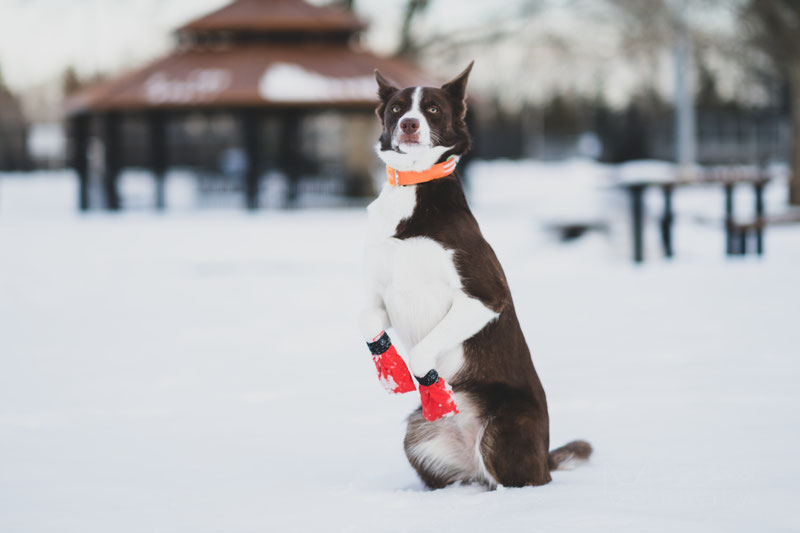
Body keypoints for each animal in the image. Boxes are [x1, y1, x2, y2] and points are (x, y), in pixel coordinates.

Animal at [360, 61, 592, 486]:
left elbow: (422, 351)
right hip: (418, 435)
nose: (409, 124)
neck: (414, 191)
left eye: (433, 109)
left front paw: (432, 388)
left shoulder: (485, 296)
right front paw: (392, 369)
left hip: (504, 429)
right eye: (397, 107)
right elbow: (365, 321)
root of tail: (543, 459)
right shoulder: (380, 295)